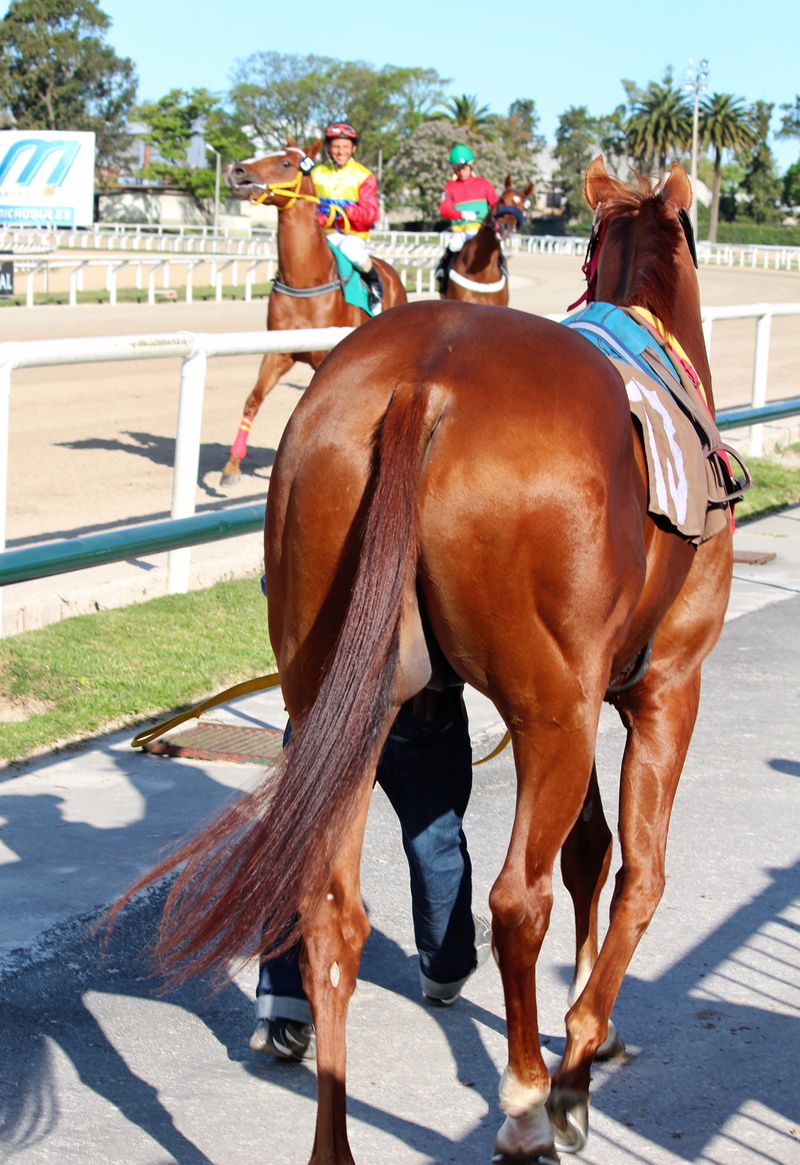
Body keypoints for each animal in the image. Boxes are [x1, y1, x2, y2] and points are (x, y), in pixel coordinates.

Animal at [220, 141, 408, 485]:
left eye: (285, 163)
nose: (237, 170)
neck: (305, 281)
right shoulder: (278, 353)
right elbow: (252, 400)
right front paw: (232, 465)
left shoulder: (326, 358)